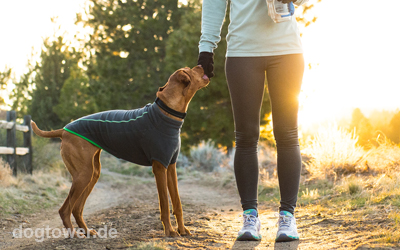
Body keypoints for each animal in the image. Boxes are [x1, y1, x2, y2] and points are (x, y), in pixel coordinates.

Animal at [31, 65, 209, 237]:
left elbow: (177, 203)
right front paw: (170, 231)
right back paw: (74, 234)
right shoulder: (159, 168)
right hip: (83, 175)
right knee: (65, 209)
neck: (166, 112)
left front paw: (183, 230)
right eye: (191, 69)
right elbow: (164, 204)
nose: (201, 65)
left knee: (76, 208)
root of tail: (63, 130)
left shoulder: (171, 165)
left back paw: (87, 231)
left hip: (92, 174)